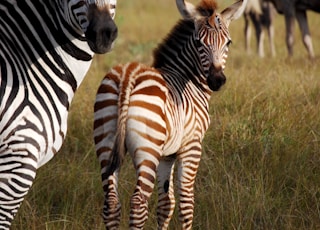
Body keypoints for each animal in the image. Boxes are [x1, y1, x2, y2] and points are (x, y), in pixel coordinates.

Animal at [94, 0, 246, 228]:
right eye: (199, 43)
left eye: (228, 43)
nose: (217, 80)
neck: (188, 79)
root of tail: (128, 74)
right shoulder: (191, 146)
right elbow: (186, 203)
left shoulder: (167, 155)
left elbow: (166, 204)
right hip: (148, 150)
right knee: (138, 202)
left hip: (106, 142)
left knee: (111, 202)